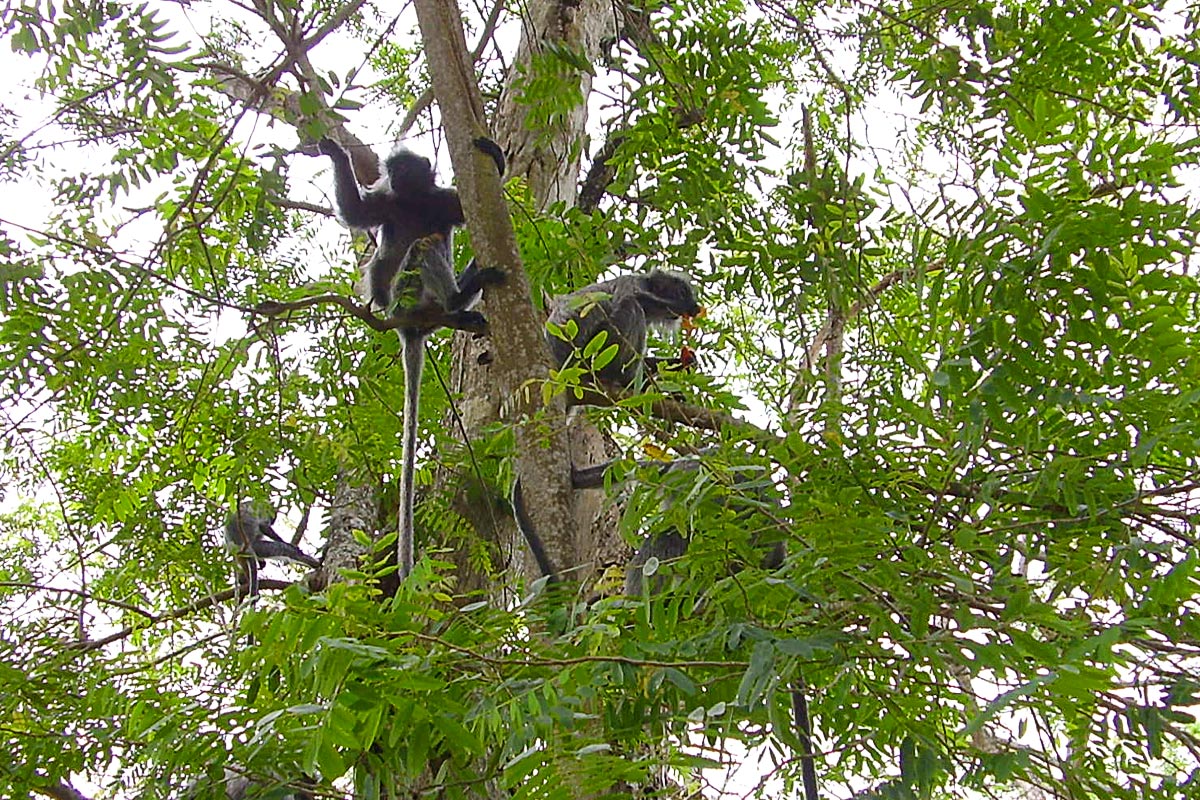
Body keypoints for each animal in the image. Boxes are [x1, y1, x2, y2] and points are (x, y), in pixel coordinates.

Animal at [316, 134, 504, 578]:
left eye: (409, 169)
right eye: (396, 170)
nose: (400, 175)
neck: (415, 201)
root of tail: (410, 325)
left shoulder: (442, 202)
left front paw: (495, 154)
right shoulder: (388, 203)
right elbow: (356, 214)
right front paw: (335, 153)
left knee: (430, 247)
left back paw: (461, 300)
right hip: (405, 293)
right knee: (413, 252)